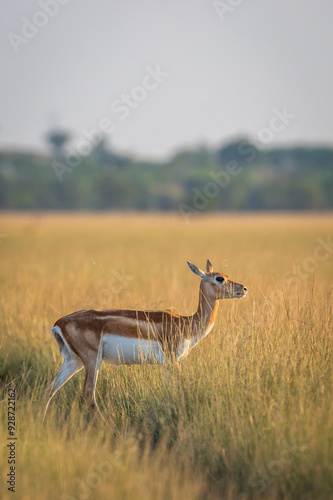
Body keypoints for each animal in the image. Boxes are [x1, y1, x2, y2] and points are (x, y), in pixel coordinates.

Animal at [43, 258, 246, 418]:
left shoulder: (166, 364)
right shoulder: (172, 360)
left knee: (49, 389)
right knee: (87, 394)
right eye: (219, 278)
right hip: (92, 361)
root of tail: (59, 323)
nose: (243, 288)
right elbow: (183, 387)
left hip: (74, 361)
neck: (185, 323)